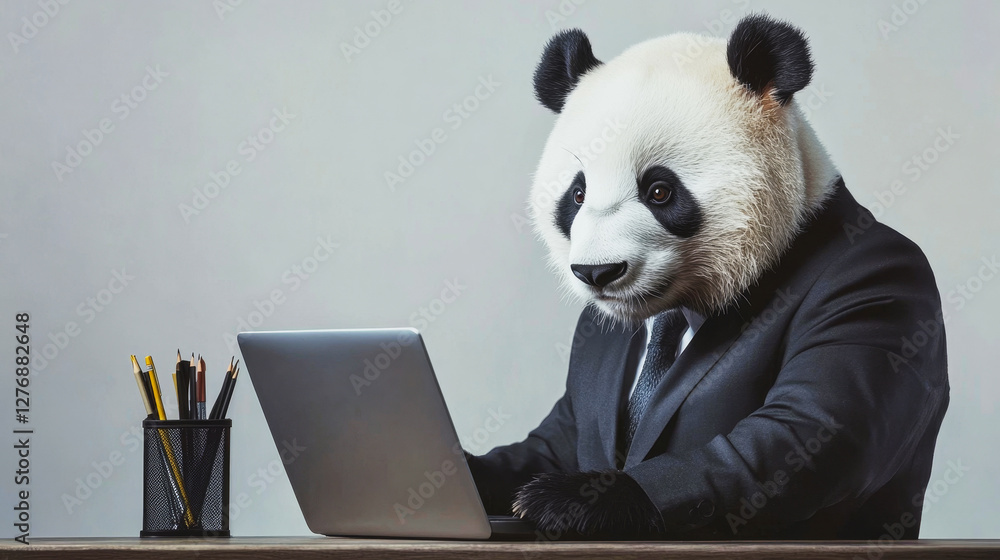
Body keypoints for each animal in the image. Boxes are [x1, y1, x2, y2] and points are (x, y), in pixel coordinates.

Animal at [467, 14, 950, 539]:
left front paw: (570, 499)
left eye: (660, 190)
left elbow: (813, 427)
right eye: (576, 194)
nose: (597, 271)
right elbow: (550, 441)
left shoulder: (867, 289)